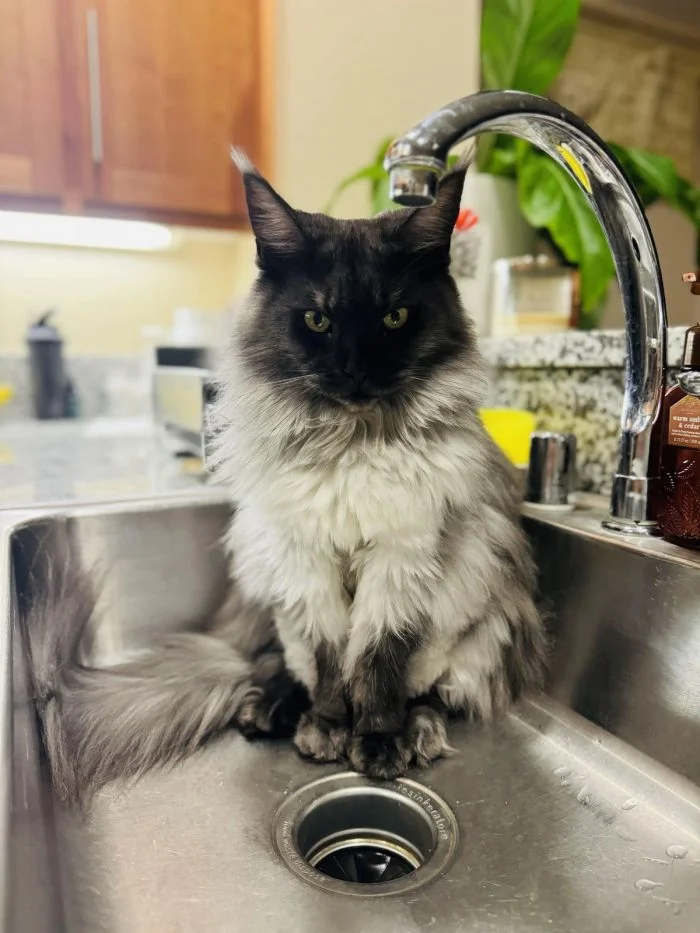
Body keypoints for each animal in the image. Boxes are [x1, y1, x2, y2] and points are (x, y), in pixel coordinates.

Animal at [30, 153, 545, 805]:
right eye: (317, 320)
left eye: (395, 317)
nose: (354, 370)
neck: (349, 443)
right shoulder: (305, 561)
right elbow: (328, 662)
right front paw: (326, 728)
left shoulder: (401, 563)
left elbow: (377, 666)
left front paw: (377, 742)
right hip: (266, 570)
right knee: (276, 662)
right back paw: (270, 712)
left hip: (483, 619)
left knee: (432, 693)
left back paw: (415, 733)